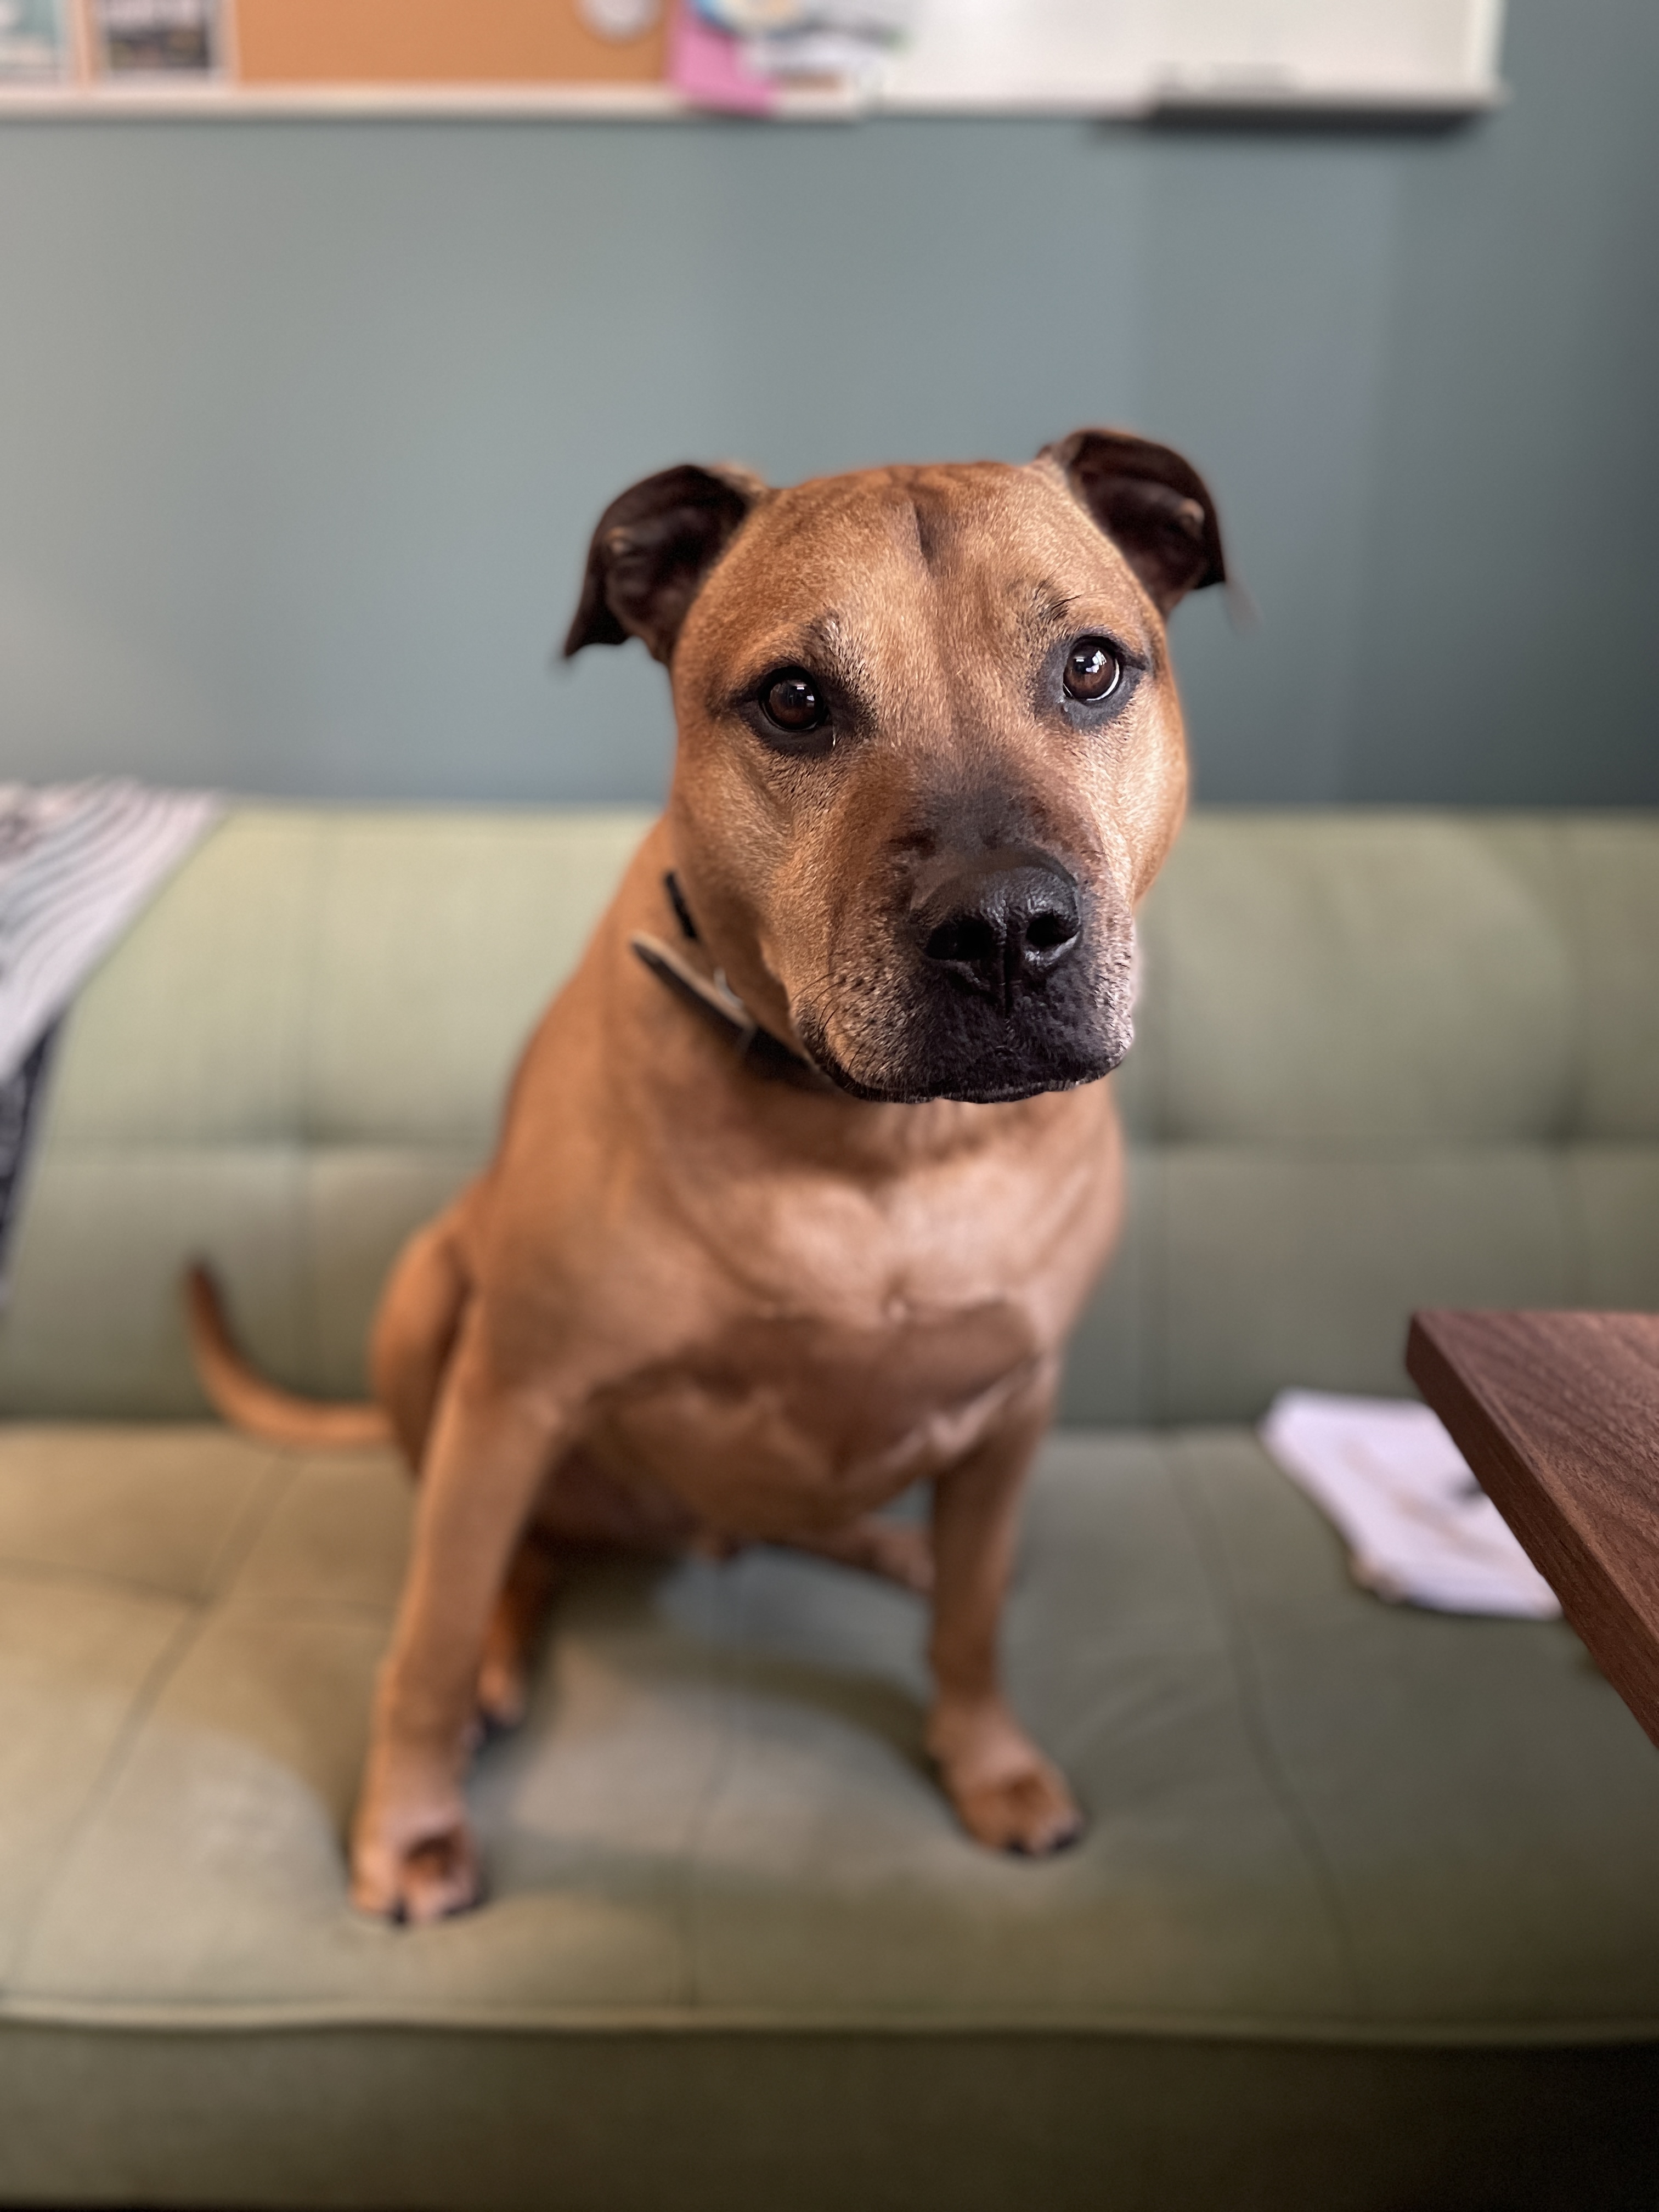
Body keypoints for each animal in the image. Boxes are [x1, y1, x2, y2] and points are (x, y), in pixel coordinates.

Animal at [188, 429, 1225, 1923]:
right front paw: (411, 1828)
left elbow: (972, 1628)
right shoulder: (519, 1385)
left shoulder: (1018, 1404)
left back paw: (897, 1549)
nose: (1004, 929)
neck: (875, 1146)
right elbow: (429, 1630)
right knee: (508, 1556)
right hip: (431, 1299)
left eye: (1090, 666)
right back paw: (506, 1648)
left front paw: (988, 1761)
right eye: (795, 701)